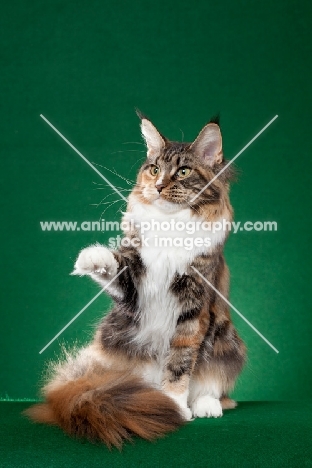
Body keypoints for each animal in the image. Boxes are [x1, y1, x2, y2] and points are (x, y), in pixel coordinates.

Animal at [25, 111, 246, 448]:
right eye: (154, 169)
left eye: (183, 171)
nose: (158, 186)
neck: (170, 225)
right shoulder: (134, 285)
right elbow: (117, 266)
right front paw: (90, 257)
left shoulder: (194, 307)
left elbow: (180, 364)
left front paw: (175, 405)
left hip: (226, 340)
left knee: (211, 383)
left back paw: (205, 406)